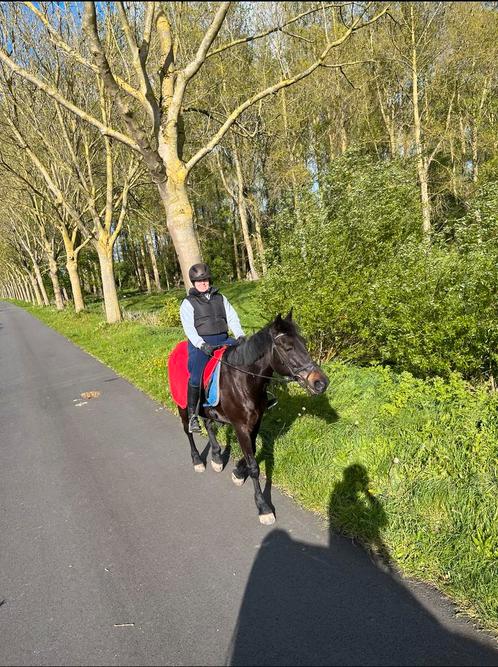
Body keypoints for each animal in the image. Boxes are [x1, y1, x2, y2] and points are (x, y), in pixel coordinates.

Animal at [173, 310, 328, 524]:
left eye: (304, 343)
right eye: (288, 347)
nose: (321, 383)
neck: (244, 380)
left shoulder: (255, 423)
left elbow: (252, 451)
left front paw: (238, 471)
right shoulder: (240, 426)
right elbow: (254, 466)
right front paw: (263, 507)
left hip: (207, 409)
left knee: (209, 424)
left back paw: (216, 457)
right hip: (183, 405)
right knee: (188, 430)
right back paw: (197, 460)